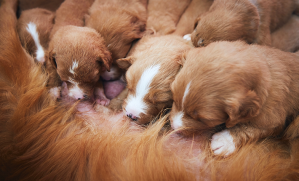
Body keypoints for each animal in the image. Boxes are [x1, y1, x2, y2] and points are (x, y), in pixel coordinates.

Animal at [171, 40, 299, 156]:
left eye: (203, 119)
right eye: (174, 97)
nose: (173, 126)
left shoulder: (273, 120)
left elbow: (250, 128)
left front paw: (224, 141)